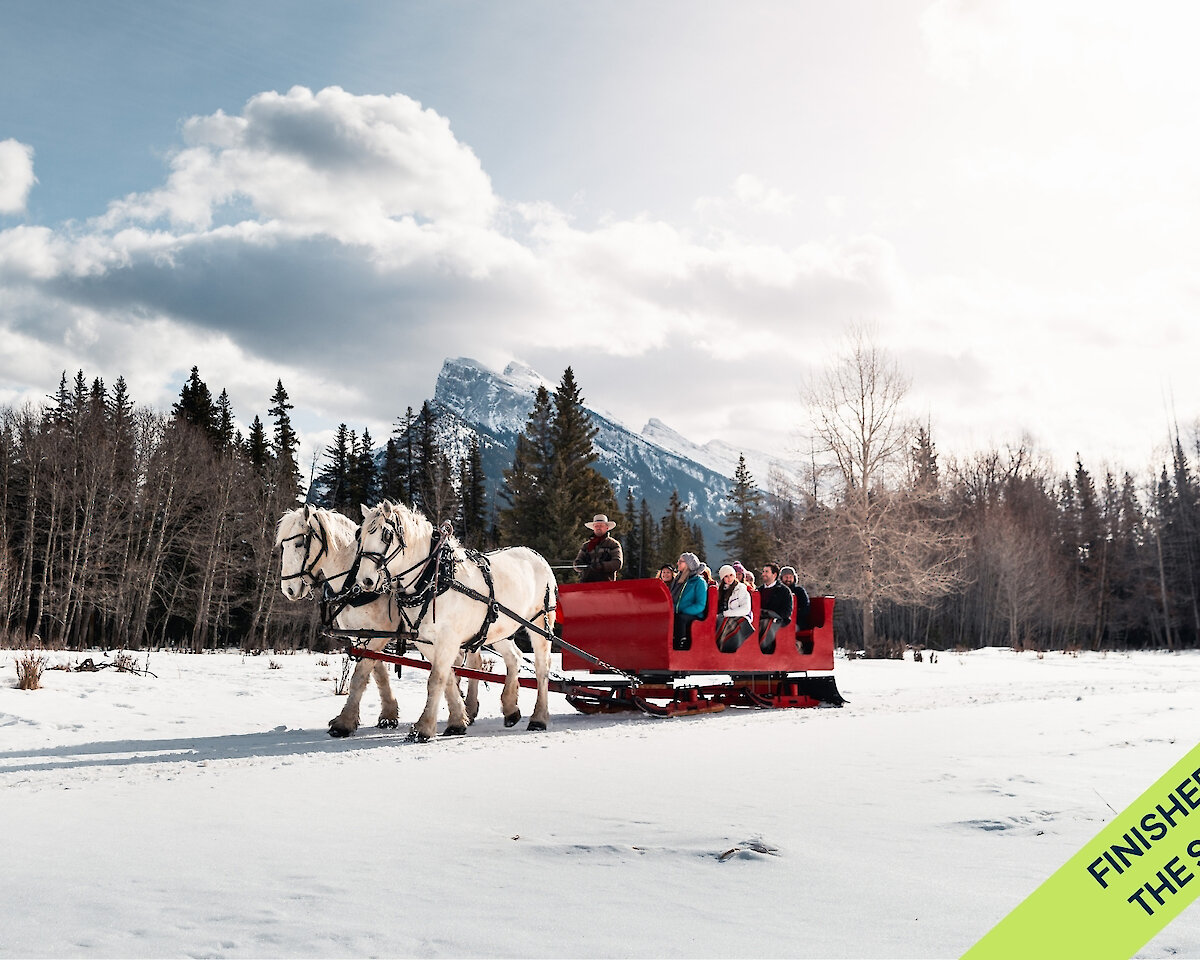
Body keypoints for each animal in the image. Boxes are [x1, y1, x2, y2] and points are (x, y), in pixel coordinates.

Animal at [276, 506, 520, 739]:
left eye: (299, 542)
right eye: (283, 546)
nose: (288, 589)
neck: (352, 583)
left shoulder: (380, 634)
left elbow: (361, 675)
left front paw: (344, 723)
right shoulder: (364, 635)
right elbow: (378, 673)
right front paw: (389, 714)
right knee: (476, 661)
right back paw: (471, 708)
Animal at [350, 499, 556, 739]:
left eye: (386, 534)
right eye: (360, 535)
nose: (365, 580)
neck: (433, 578)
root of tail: (538, 556)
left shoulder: (448, 639)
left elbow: (436, 679)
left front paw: (423, 728)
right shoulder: (426, 642)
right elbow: (447, 677)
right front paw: (458, 720)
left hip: (540, 623)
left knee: (542, 668)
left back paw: (538, 718)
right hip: (499, 629)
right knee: (514, 657)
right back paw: (510, 709)